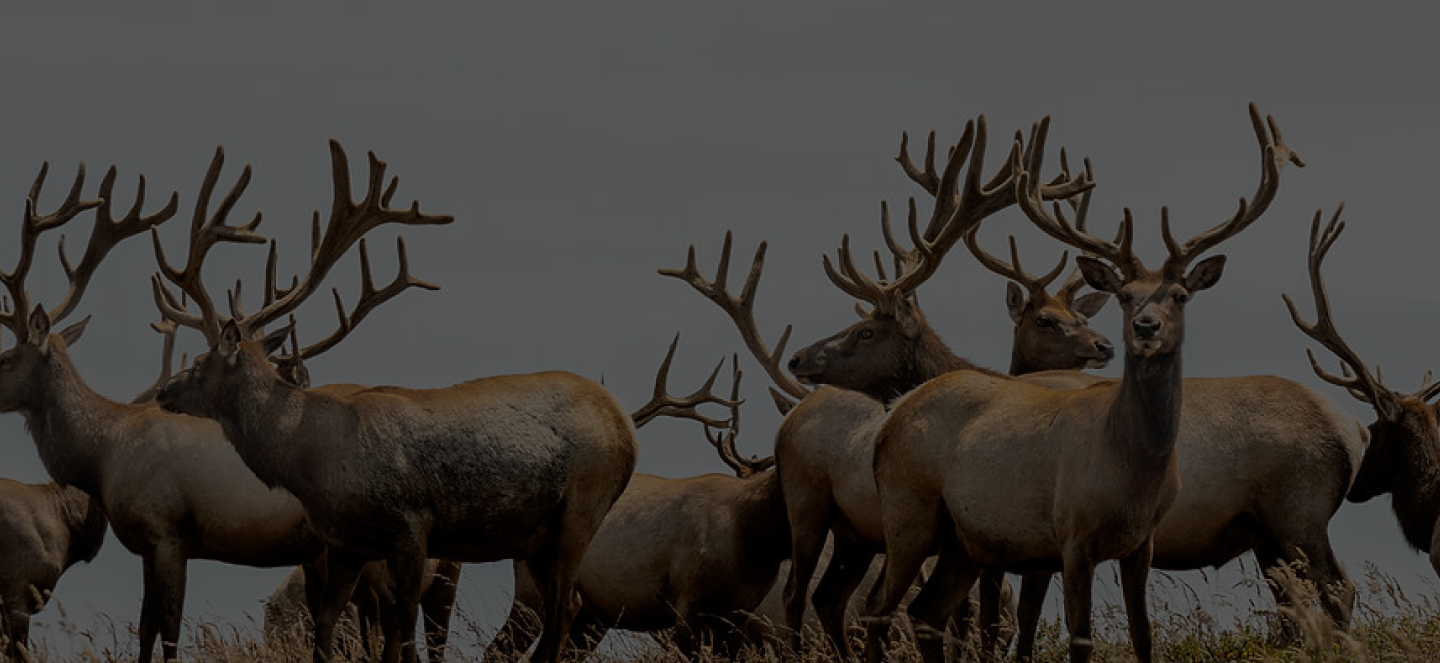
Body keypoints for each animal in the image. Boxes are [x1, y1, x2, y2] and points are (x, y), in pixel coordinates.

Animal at [150, 142, 639, 663]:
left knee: (563, 607)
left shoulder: (410, 521)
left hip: (583, 505)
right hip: (537, 537)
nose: (164, 391)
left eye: (202, 362)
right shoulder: (347, 542)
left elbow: (401, 629)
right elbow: (328, 624)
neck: (312, 458)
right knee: (562, 608)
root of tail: (623, 424)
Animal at [661, 115, 1103, 659]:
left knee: (825, 599)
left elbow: (987, 616)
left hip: (849, 532)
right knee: (809, 596)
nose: (798, 357)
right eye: (1046, 321)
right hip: (820, 516)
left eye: (867, 331)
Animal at [865, 104, 1295, 663]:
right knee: (879, 608)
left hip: (964, 539)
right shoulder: (1072, 534)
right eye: (1125, 297)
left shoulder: (1142, 542)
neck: (1130, 470)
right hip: (907, 510)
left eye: (1180, 295)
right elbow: (1081, 637)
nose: (1145, 328)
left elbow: (1143, 635)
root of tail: (886, 427)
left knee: (925, 613)